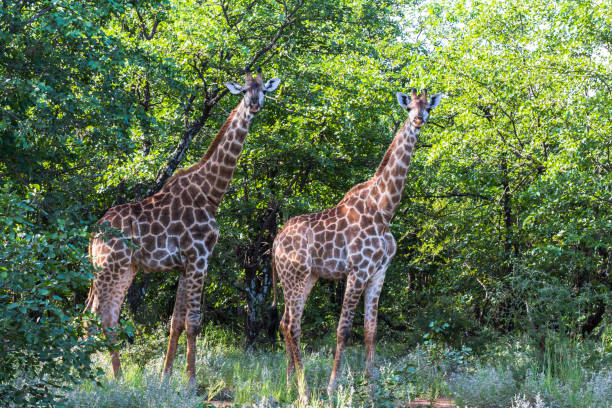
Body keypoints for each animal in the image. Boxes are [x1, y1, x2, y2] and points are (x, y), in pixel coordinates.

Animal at [86, 68, 282, 380]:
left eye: (263, 89)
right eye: (243, 90)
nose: (254, 104)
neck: (211, 193)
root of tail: (94, 234)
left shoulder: (183, 264)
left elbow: (175, 321)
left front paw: (165, 376)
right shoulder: (199, 257)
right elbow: (193, 322)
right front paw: (190, 380)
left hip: (124, 269)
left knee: (107, 316)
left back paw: (113, 377)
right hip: (108, 267)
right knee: (93, 316)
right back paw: (94, 377)